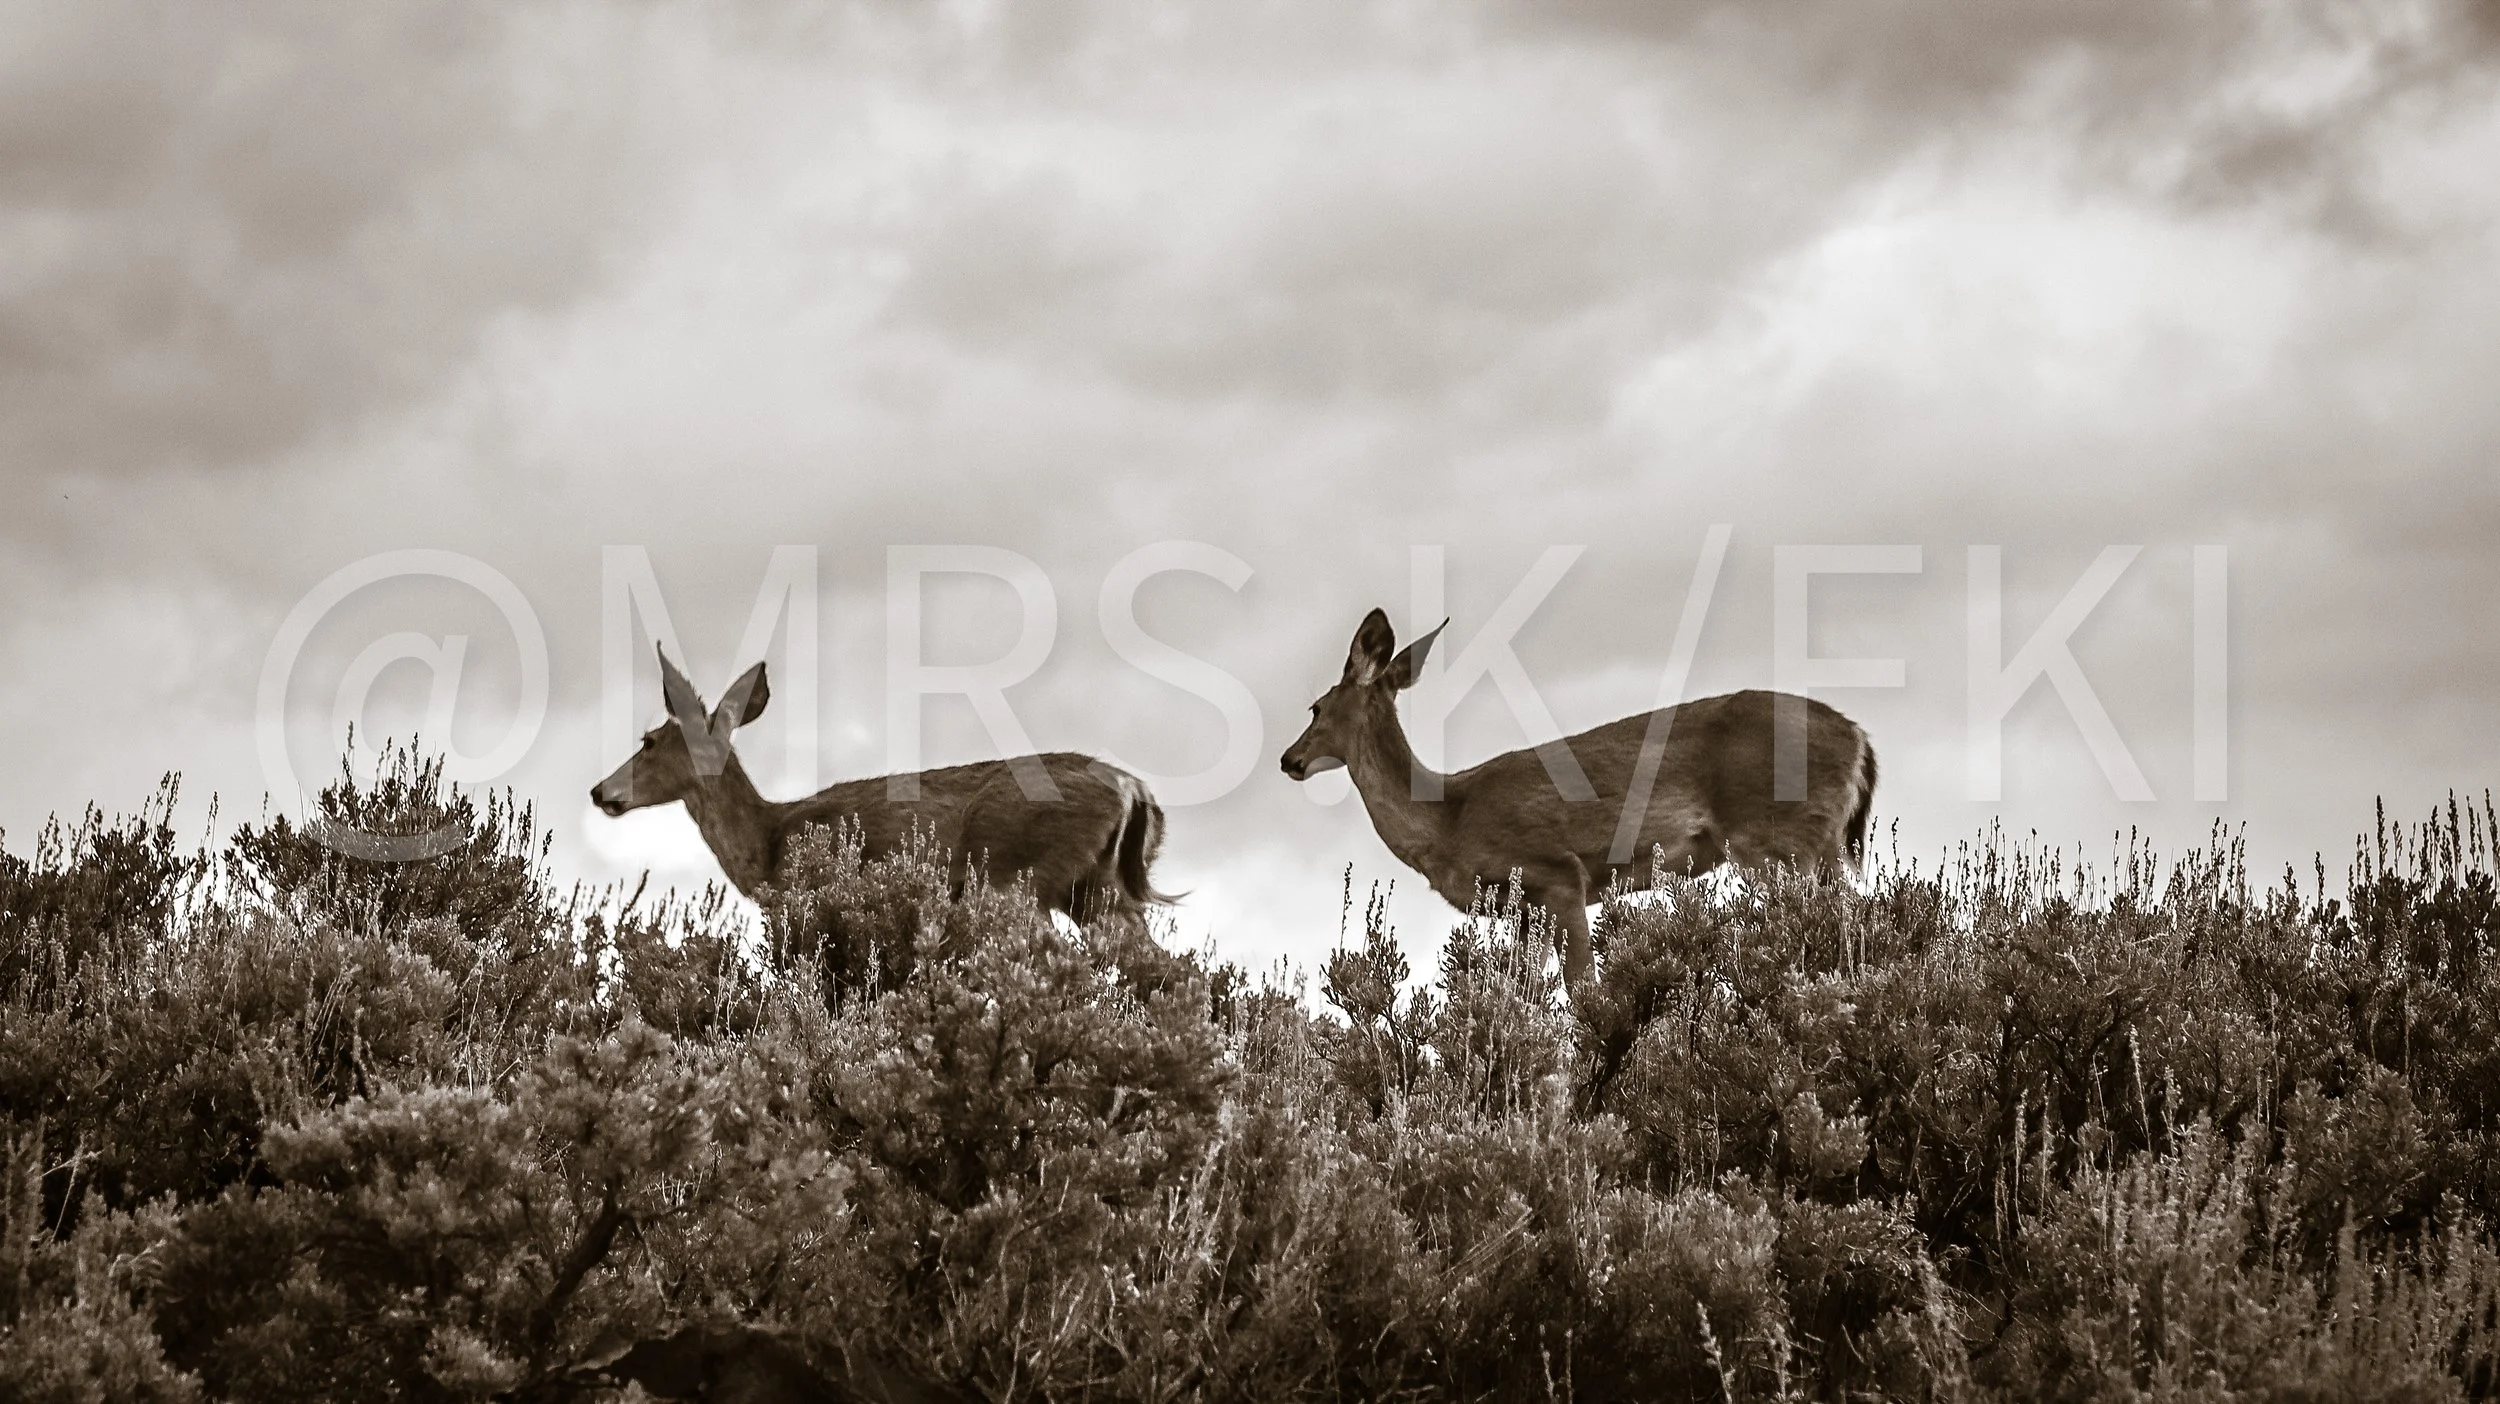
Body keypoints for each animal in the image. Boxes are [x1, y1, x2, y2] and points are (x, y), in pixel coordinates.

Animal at [591, 647, 1173, 925]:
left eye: (648, 741)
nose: (599, 791)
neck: (767, 841)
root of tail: (1135, 789)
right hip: (1099, 889)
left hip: (1016, 877)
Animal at [1280, 609, 1877, 994]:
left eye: (1314, 708)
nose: (1289, 759)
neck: (1450, 816)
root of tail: (1859, 738)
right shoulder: (1523, 907)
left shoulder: (1557, 872)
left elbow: (1584, 989)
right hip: (1822, 844)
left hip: (1777, 836)